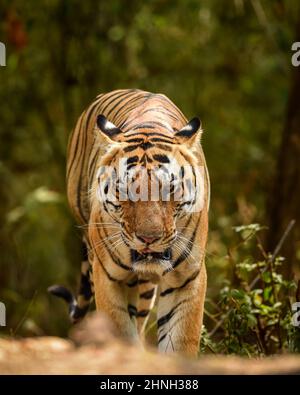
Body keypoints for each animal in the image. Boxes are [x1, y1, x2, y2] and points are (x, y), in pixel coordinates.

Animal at [48, 90, 209, 358]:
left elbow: (180, 340)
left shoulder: (188, 277)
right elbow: (119, 329)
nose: (149, 238)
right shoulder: (108, 276)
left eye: (170, 189)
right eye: (125, 190)